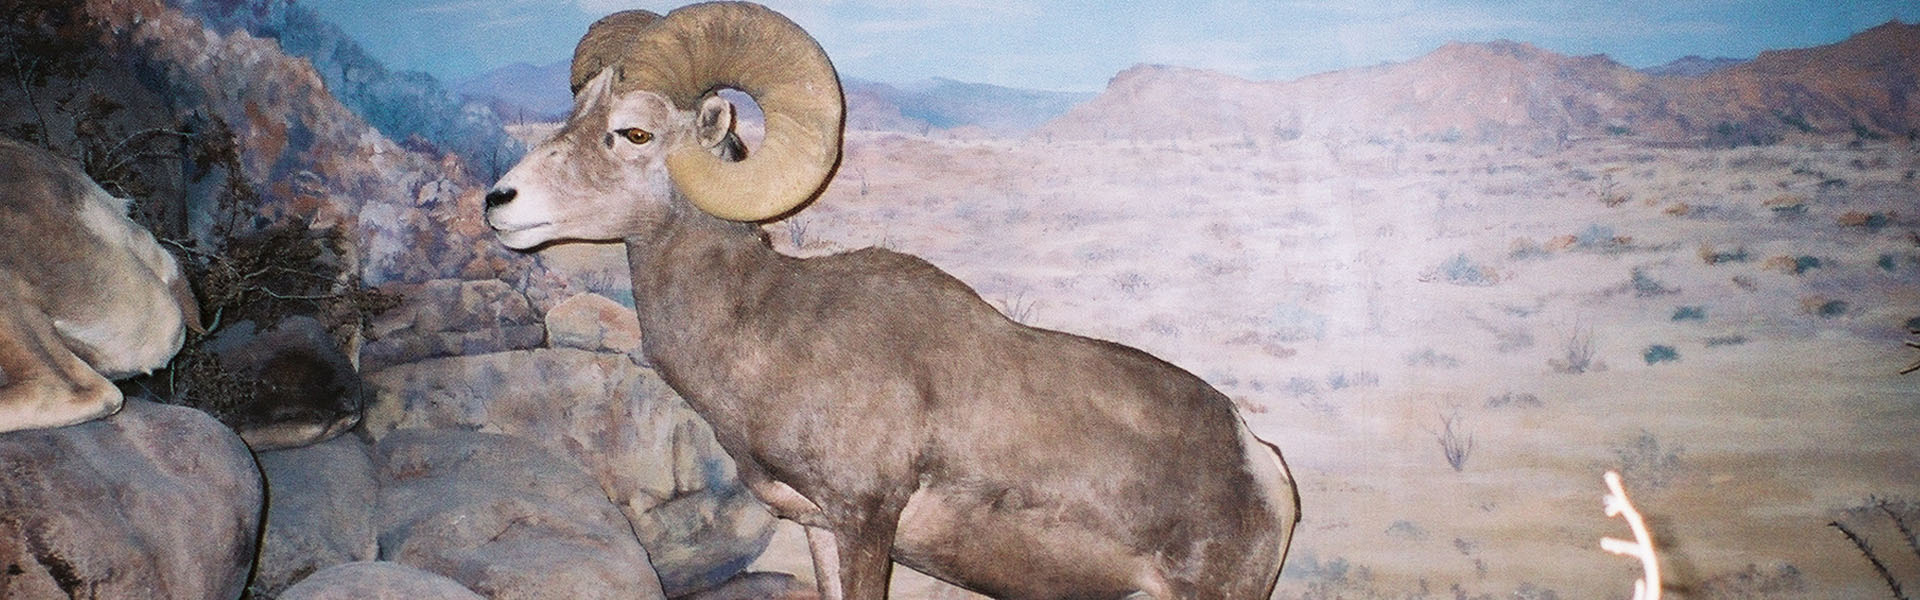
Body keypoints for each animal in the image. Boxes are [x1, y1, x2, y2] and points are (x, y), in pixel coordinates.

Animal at [483, 3, 1299, 599]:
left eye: (634, 132)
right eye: (576, 113)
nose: (499, 202)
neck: (766, 331)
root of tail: (1261, 465)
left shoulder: (867, 521)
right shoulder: (819, 527)